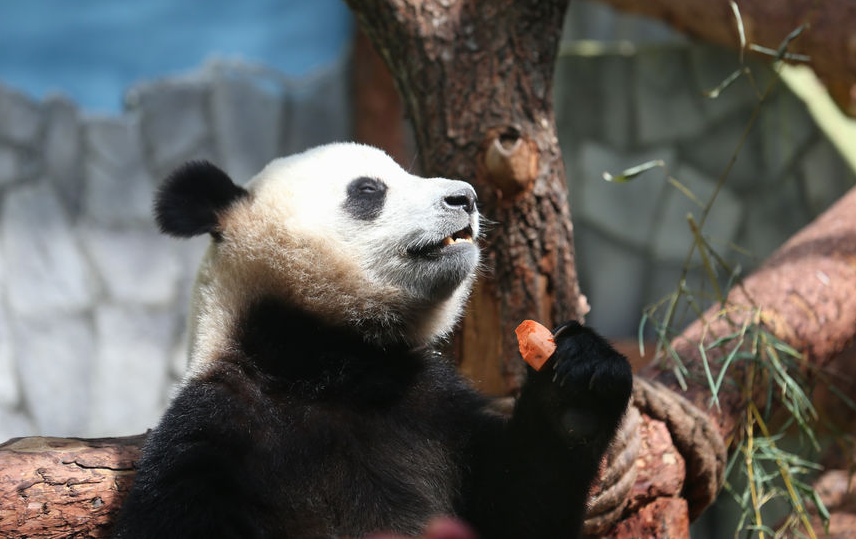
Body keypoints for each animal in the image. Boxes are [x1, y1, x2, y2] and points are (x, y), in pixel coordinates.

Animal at [112, 141, 636, 536]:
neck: (329, 362)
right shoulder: (217, 430)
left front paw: (580, 383)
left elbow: (519, 506)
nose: (465, 197)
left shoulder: (434, 410)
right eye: (368, 190)